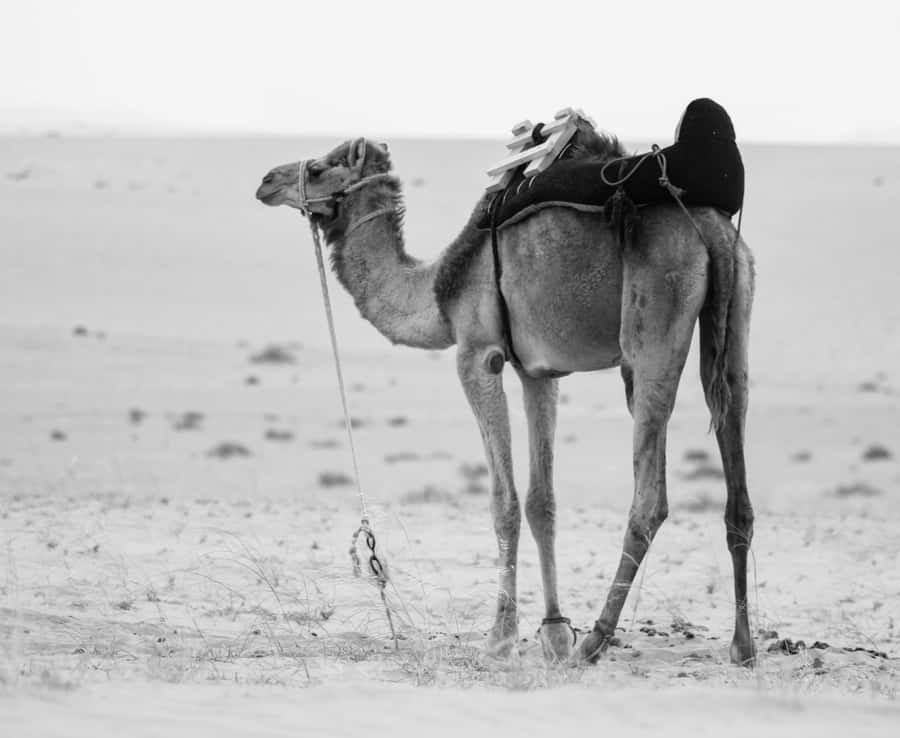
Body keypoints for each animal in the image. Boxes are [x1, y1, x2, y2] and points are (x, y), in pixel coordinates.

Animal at [255, 124, 756, 666]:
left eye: (318, 168)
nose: (266, 181)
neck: (437, 290)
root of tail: (710, 230)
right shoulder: (538, 371)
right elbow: (542, 502)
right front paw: (554, 635)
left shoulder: (479, 355)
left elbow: (505, 501)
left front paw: (500, 638)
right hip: (735, 320)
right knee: (736, 478)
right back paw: (742, 645)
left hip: (653, 329)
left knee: (650, 500)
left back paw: (597, 640)